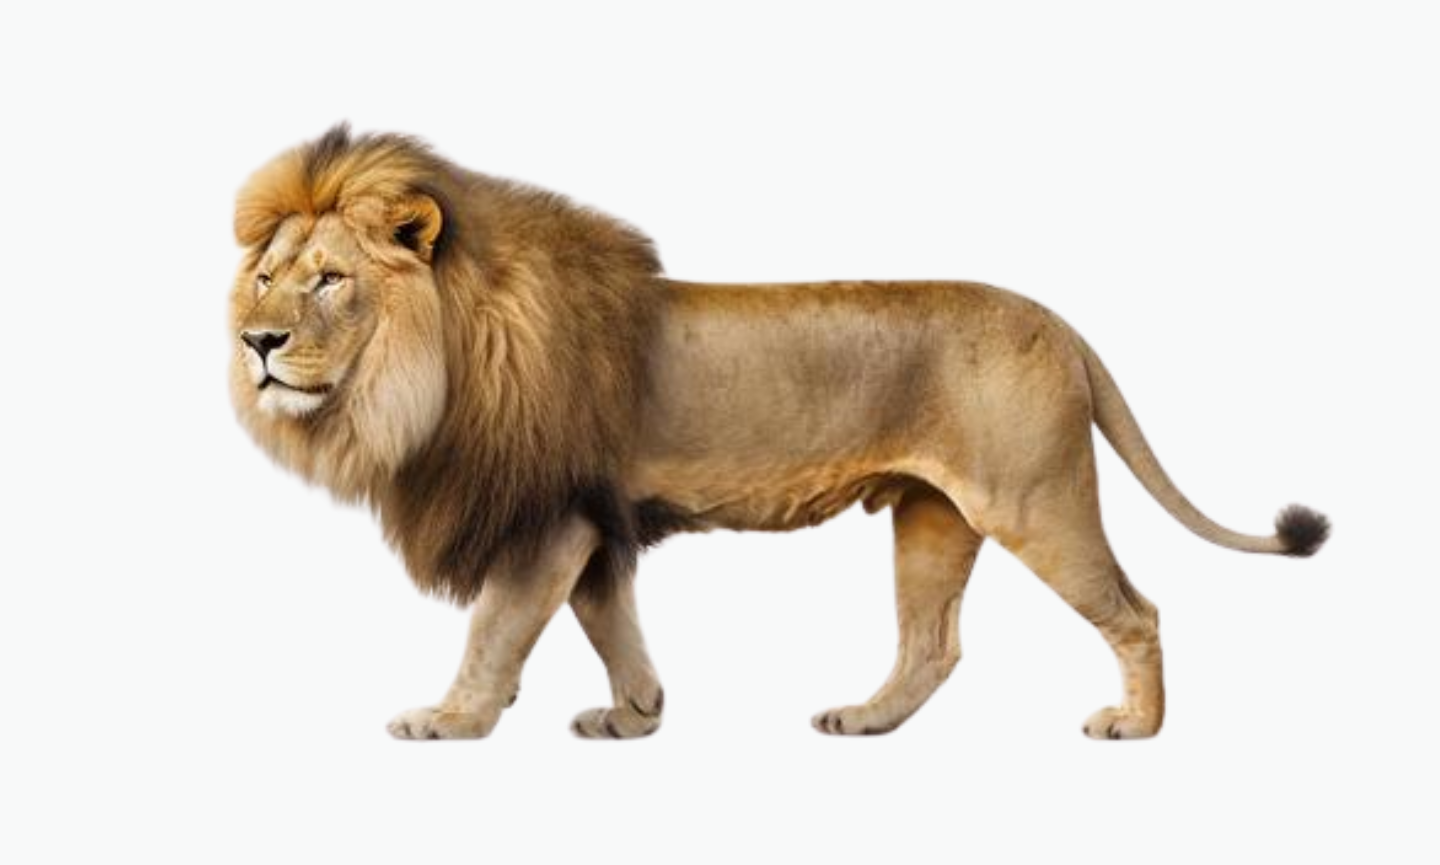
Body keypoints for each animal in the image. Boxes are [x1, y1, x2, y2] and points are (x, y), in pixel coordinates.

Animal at [230, 125, 1329, 741]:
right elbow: (608, 622)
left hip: (1036, 497)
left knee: (1138, 610)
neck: (427, 369)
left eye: (330, 279)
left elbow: (496, 628)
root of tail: (1060, 324)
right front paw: (636, 714)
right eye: (267, 275)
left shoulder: (550, 517)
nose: (257, 342)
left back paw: (1137, 726)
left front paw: (450, 719)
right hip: (932, 516)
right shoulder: (594, 521)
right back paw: (867, 718)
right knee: (934, 643)